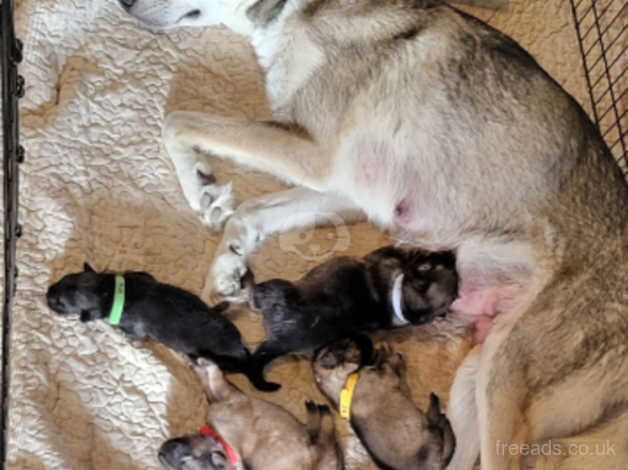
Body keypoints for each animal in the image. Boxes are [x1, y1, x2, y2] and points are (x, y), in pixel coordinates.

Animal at [45, 262, 278, 392]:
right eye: (65, 277)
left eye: (60, 304)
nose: (47, 293)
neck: (109, 291)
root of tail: (243, 353)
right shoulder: (140, 276)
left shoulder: (135, 328)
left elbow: (128, 333)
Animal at [157, 358, 344, 468]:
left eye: (186, 460)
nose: (163, 453)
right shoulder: (226, 398)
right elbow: (210, 384)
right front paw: (199, 366)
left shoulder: (229, 397)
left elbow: (212, 381)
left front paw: (201, 365)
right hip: (317, 446)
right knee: (322, 434)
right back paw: (316, 413)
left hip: (319, 448)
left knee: (326, 434)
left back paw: (317, 410)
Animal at [248, 244, 458, 380]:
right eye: (434, 264)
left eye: (429, 265)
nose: (451, 252)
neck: (400, 301)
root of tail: (281, 342)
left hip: (277, 286)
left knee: (255, 294)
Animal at [314, 338, 456, 470]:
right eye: (346, 345)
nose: (366, 339)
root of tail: (435, 465)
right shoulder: (386, 375)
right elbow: (388, 363)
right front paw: (388, 354)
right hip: (431, 434)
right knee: (440, 426)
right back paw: (438, 408)